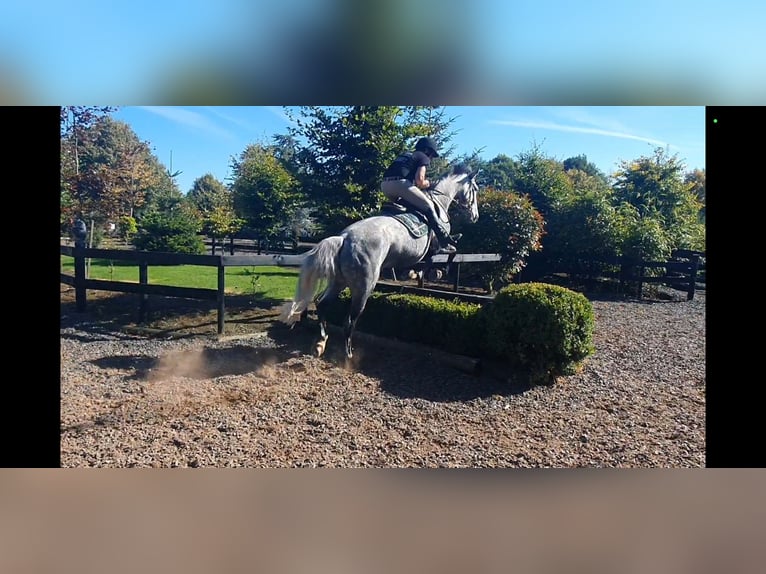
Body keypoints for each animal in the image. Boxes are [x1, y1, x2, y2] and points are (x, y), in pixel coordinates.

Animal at [280, 164, 480, 360]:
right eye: (475, 189)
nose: (475, 216)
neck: (439, 202)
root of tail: (344, 238)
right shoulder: (439, 247)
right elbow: (450, 253)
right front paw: (431, 272)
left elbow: (431, 260)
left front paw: (414, 273)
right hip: (364, 286)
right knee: (349, 321)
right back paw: (348, 355)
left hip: (339, 282)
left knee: (322, 304)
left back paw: (321, 343)